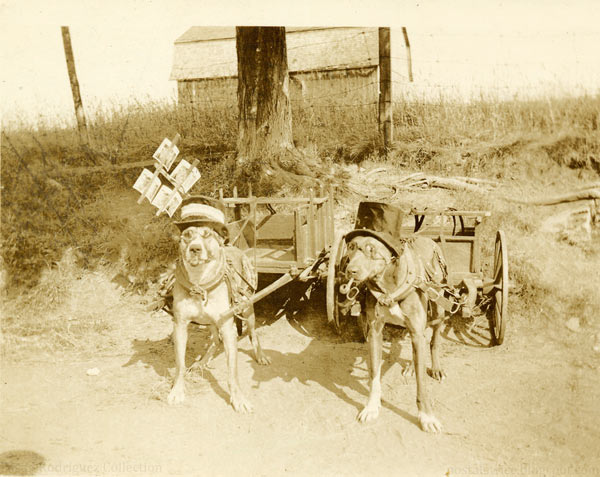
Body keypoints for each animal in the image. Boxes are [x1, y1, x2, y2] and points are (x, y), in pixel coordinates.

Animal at [166, 195, 270, 410]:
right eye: (187, 235)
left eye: (207, 235)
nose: (195, 249)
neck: (200, 283)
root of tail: (235, 248)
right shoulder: (180, 326)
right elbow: (179, 364)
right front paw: (177, 391)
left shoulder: (228, 328)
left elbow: (233, 372)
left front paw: (238, 399)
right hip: (210, 321)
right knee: (214, 340)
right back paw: (202, 361)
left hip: (247, 308)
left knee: (253, 333)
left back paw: (260, 354)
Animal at [340, 201, 448, 432]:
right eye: (351, 247)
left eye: (372, 250)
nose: (349, 270)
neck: (389, 285)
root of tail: (429, 238)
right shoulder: (374, 331)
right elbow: (374, 375)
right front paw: (371, 407)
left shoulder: (416, 330)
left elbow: (422, 385)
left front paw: (427, 416)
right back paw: (411, 367)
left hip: (439, 306)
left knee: (433, 338)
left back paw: (435, 367)